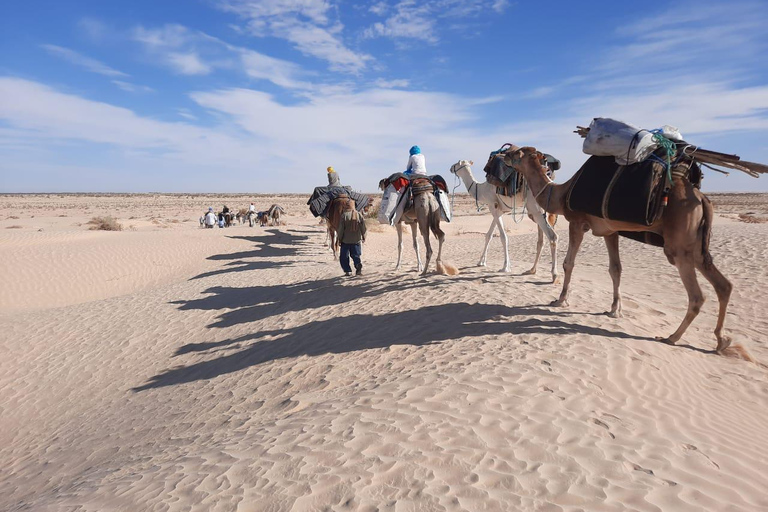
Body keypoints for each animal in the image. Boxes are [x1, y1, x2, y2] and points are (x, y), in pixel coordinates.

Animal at [504, 144, 732, 352]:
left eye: (518, 153)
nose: (504, 153)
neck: (561, 193)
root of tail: (702, 198)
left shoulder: (577, 222)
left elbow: (569, 263)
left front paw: (560, 300)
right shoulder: (609, 232)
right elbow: (615, 269)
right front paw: (615, 309)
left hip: (679, 244)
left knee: (697, 295)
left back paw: (672, 337)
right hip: (696, 245)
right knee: (724, 285)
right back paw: (721, 340)